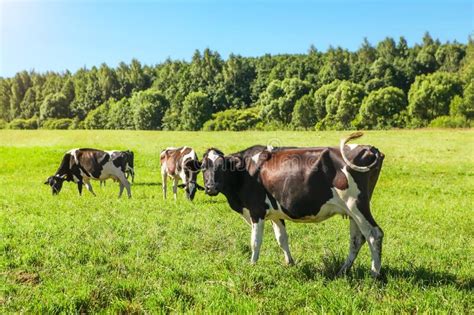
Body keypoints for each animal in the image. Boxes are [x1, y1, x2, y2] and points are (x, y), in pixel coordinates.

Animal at [200, 133, 386, 278]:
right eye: (203, 167)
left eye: (222, 166)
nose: (210, 187)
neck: (245, 172)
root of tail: (369, 148)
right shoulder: (275, 214)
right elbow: (282, 239)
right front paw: (290, 263)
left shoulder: (256, 210)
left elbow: (255, 241)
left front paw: (252, 265)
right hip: (353, 211)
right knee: (357, 239)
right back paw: (343, 271)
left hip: (356, 205)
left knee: (374, 234)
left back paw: (374, 274)